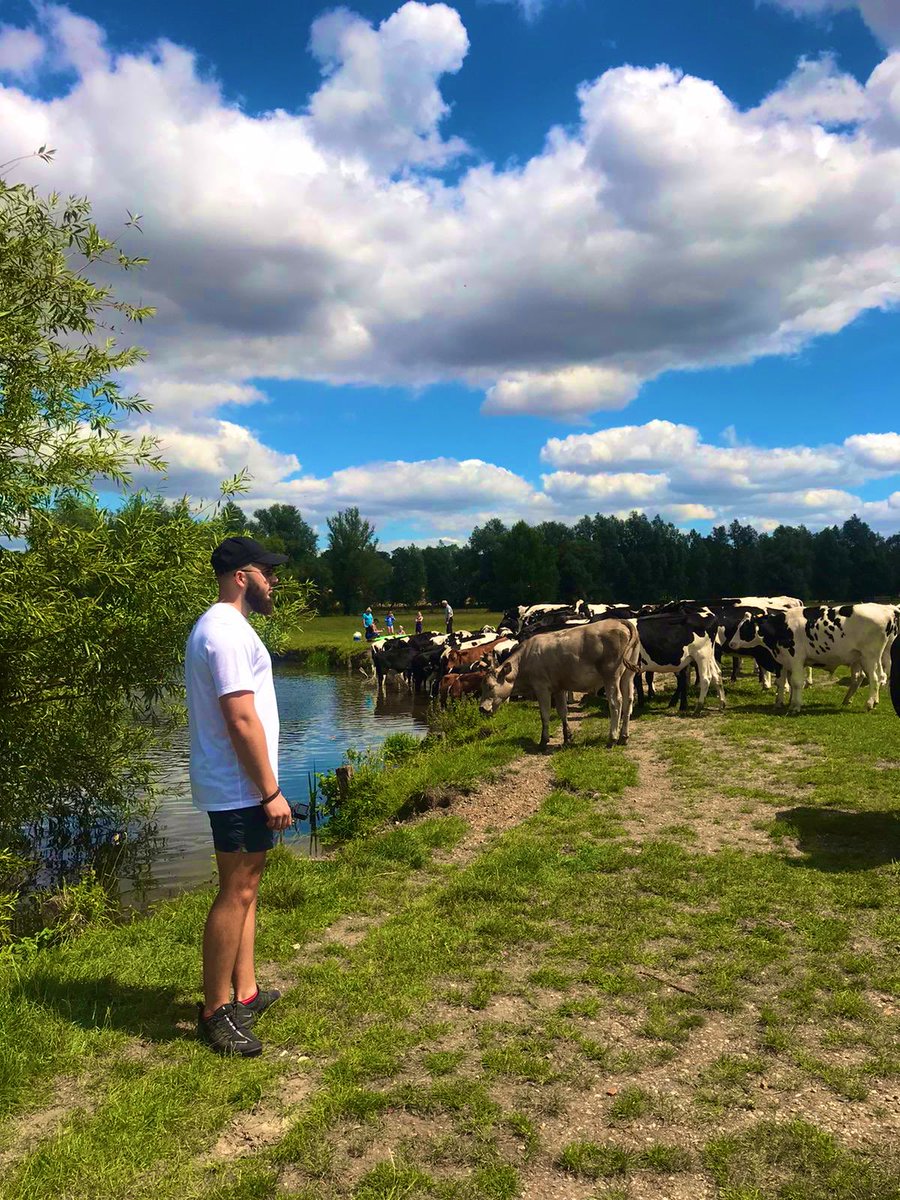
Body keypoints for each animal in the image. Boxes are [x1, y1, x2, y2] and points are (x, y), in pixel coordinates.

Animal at [479, 619, 640, 750]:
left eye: (490, 686)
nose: (481, 708)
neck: (525, 658)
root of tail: (619, 621)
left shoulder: (542, 688)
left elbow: (544, 714)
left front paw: (543, 741)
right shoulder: (559, 688)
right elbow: (563, 712)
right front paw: (567, 737)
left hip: (611, 677)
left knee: (616, 703)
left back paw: (612, 738)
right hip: (628, 676)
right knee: (628, 701)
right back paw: (623, 737)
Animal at [727, 603, 899, 713]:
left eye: (745, 628)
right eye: (738, 626)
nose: (731, 643)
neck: (781, 627)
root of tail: (887, 611)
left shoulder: (796, 659)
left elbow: (797, 682)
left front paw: (796, 706)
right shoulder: (783, 661)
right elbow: (783, 683)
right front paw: (782, 703)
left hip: (870, 656)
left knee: (875, 678)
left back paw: (869, 704)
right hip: (861, 658)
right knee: (867, 677)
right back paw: (857, 700)